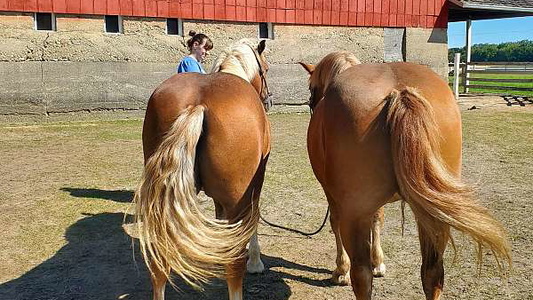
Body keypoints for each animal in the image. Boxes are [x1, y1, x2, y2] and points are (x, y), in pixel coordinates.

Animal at [134, 39, 270, 300]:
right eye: (266, 69)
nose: (268, 100)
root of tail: (197, 105)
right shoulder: (254, 185)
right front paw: (256, 262)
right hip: (236, 199)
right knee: (234, 264)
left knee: (159, 263)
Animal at [300, 52, 512, 298]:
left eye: (311, 90)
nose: (312, 104)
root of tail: (400, 91)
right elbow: (378, 220)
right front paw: (379, 262)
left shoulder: (334, 197)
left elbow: (335, 224)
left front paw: (340, 270)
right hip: (433, 215)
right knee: (432, 272)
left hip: (356, 214)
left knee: (361, 276)